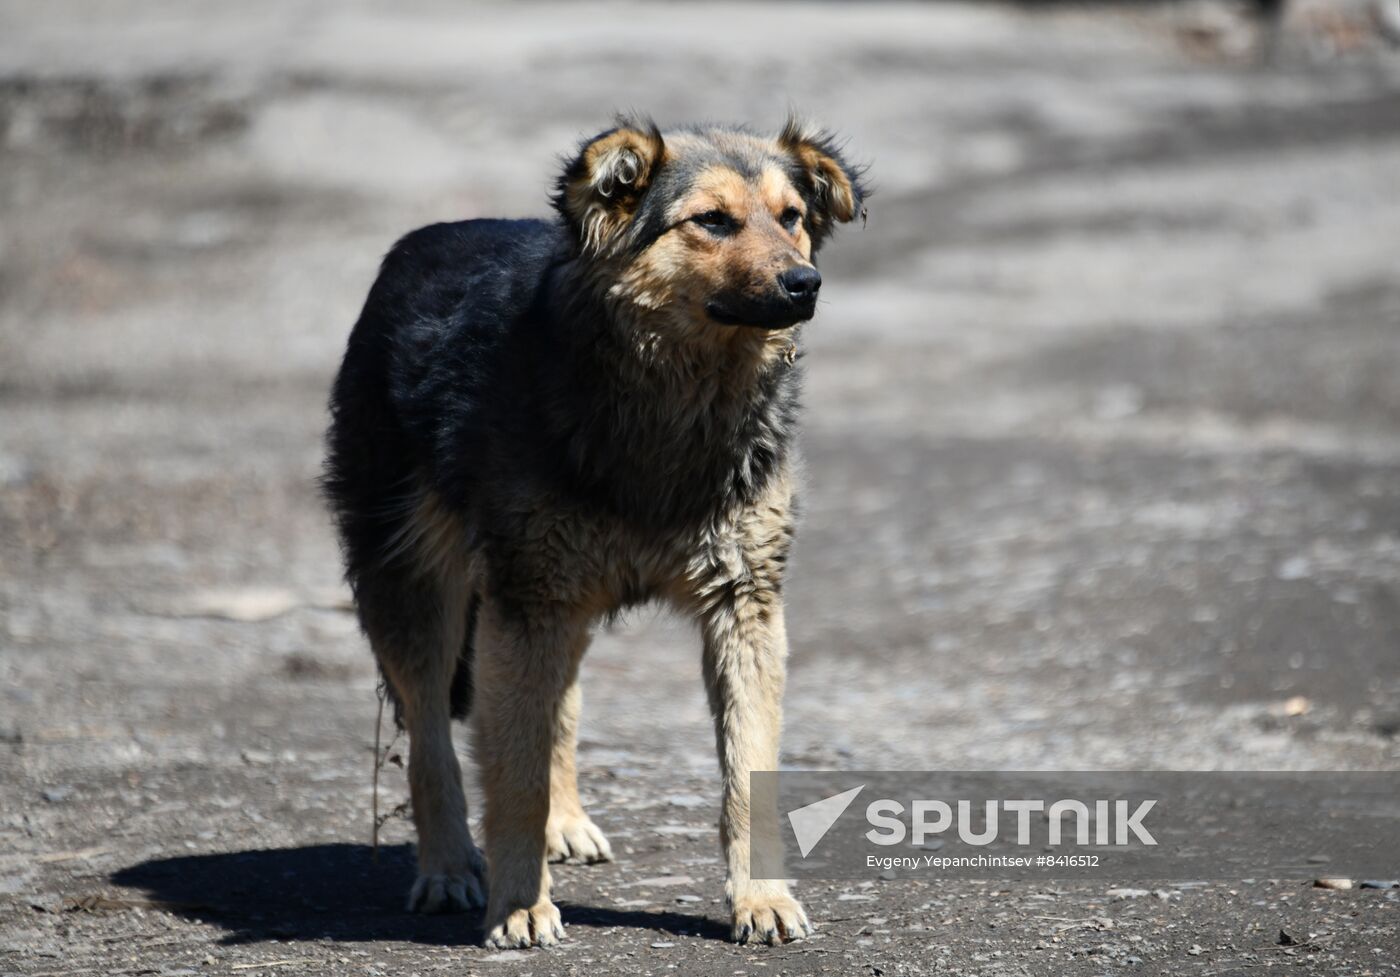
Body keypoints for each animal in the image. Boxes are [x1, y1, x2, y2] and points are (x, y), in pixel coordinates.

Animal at [323, 114, 862, 946]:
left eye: (792, 217)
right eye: (713, 221)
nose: (806, 284)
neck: (673, 405)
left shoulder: (744, 604)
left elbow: (747, 773)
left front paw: (762, 897)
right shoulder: (526, 600)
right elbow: (510, 776)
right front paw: (519, 904)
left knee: (554, 709)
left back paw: (564, 822)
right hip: (418, 588)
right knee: (433, 736)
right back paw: (447, 865)